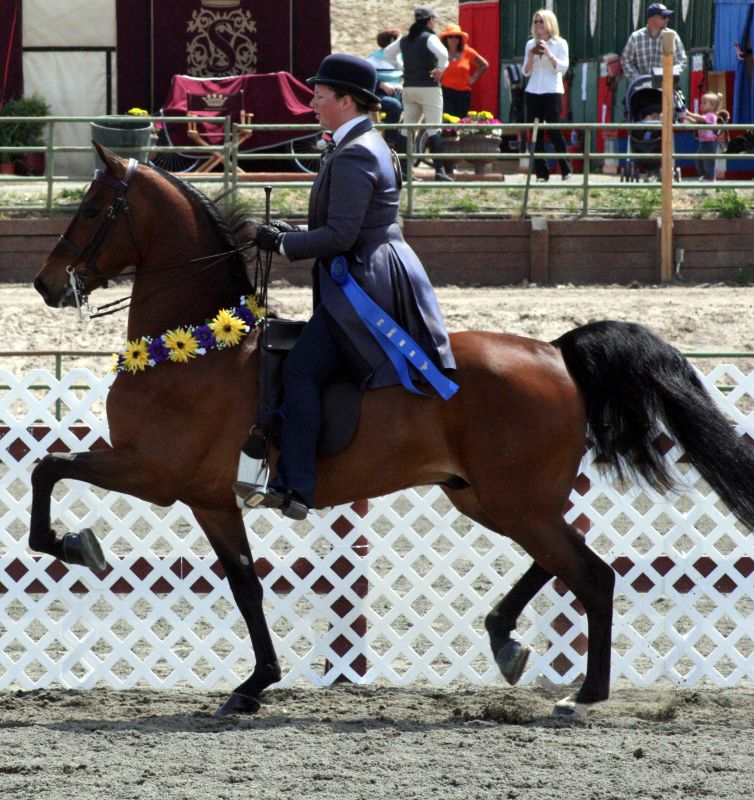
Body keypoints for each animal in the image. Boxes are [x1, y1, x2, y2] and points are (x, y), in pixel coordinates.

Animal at [32, 144, 752, 720]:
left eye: (93, 210)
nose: (44, 285)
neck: (194, 347)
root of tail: (555, 350)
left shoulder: (152, 472)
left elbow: (50, 468)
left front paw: (74, 545)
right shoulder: (209, 498)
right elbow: (246, 586)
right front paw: (254, 684)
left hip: (515, 500)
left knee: (591, 575)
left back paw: (582, 694)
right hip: (488, 497)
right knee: (559, 565)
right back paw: (506, 637)